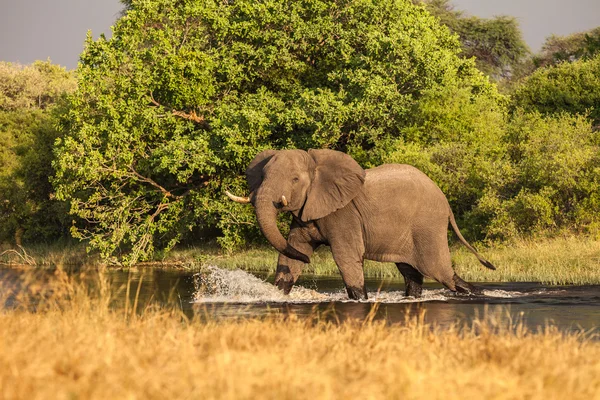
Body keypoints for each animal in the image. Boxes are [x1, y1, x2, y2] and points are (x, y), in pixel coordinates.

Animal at [227, 150, 494, 300]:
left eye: (294, 179)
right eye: (263, 176)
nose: (311, 261)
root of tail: (446, 202)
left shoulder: (343, 214)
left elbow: (346, 256)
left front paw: (359, 299)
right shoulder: (306, 211)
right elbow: (293, 253)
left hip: (427, 225)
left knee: (441, 272)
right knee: (411, 271)